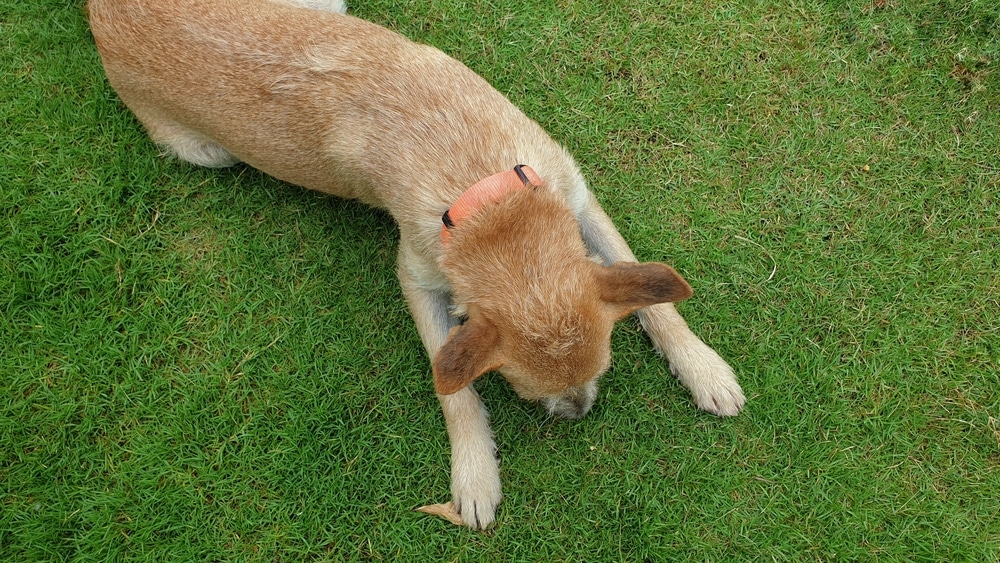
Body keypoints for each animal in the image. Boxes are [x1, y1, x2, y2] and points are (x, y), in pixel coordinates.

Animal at [88, 0, 744, 532]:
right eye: (523, 388)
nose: (578, 414)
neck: (485, 195)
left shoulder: (580, 201)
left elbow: (657, 300)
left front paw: (702, 367)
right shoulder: (416, 278)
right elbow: (452, 390)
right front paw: (473, 475)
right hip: (206, 153)